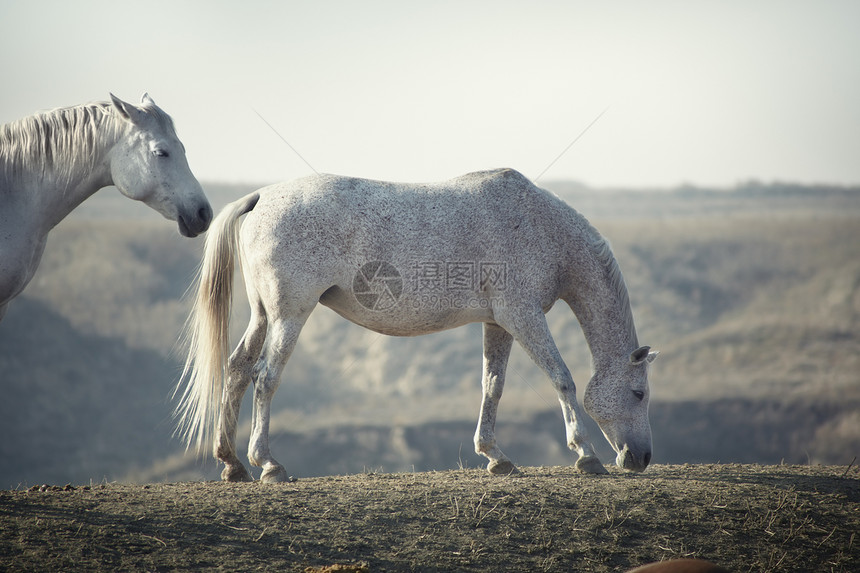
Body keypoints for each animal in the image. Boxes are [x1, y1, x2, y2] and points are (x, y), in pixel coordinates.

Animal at [176, 168, 660, 480]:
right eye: (639, 393)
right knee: (266, 377)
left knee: (238, 370)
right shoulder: (523, 316)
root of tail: (260, 197)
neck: (540, 226)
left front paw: (495, 456)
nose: (641, 457)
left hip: (264, 315)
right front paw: (585, 454)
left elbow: (493, 386)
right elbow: (562, 378)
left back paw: (232, 462)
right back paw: (269, 464)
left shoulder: (499, 323)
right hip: (289, 316)